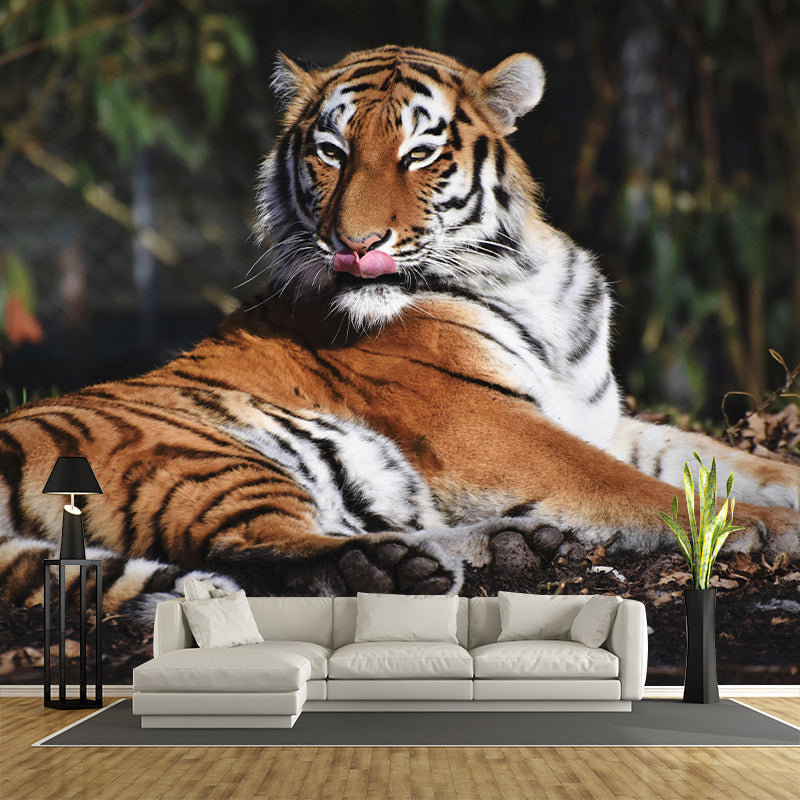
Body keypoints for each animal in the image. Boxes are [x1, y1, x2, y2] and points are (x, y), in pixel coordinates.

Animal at [1, 45, 799, 622]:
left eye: (419, 153)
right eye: (331, 152)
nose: (355, 245)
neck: (523, 274)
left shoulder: (596, 417)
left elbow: (727, 461)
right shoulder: (486, 427)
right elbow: (635, 487)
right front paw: (765, 526)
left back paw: (508, 546)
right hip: (198, 453)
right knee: (256, 548)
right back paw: (397, 568)